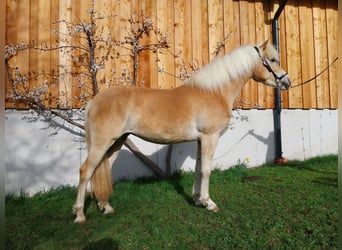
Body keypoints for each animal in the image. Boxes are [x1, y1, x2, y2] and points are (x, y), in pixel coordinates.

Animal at [73, 40, 292, 223]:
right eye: (272, 60)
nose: (287, 82)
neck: (214, 92)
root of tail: (94, 101)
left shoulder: (200, 140)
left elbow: (198, 168)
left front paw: (197, 199)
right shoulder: (210, 137)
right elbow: (206, 169)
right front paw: (209, 203)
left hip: (117, 142)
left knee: (101, 170)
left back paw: (106, 207)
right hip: (102, 143)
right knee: (85, 171)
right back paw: (80, 214)